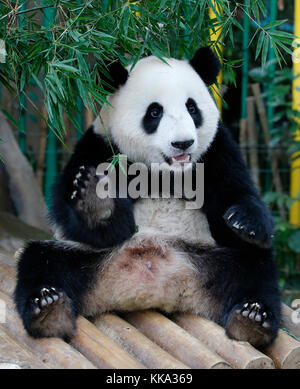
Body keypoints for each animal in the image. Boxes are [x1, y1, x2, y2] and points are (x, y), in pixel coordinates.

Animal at [14, 47, 282, 348]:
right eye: (155, 112)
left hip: (213, 260)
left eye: (192, 108)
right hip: (83, 259)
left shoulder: (216, 153)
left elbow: (238, 196)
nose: (183, 143)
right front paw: (96, 199)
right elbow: (86, 225)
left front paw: (244, 223)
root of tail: (155, 289)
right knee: (41, 261)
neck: (166, 172)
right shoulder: (101, 147)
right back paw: (49, 310)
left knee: (255, 270)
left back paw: (250, 319)